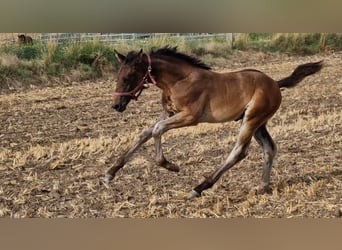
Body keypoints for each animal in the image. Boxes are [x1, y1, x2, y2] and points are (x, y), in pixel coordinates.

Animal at [105, 47, 322, 199]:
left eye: (128, 76)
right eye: (118, 76)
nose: (116, 105)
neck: (179, 80)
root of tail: (276, 84)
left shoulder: (190, 117)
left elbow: (157, 131)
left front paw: (170, 165)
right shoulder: (168, 112)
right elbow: (144, 134)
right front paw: (109, 173)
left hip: (251, 120)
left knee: (239, 152)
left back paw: (198, 188)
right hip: (258, 123)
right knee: (269, 148)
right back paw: (263, 186)